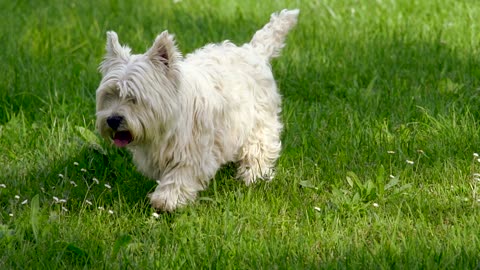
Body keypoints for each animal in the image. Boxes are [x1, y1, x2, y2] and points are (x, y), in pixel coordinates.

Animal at [96, 8, 300, 211]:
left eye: (134, 98)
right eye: (109, 95)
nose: (112, 120)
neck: (168, 124)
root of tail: (253, 51)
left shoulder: (192, 152)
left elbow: (179, 176)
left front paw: (166, 200)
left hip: (259, 122)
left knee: (258, 149)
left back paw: (254, 177)